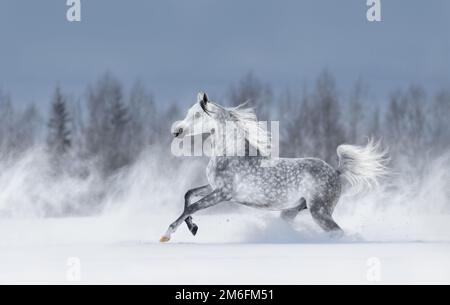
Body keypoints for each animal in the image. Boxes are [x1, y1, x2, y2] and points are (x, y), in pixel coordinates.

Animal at [160, 91, 388, 241]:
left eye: (197, 115)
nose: (176, 131)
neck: (230, 153)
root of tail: (336, 171)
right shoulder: (213, 187)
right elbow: (188, 195)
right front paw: (193, 227)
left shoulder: (223, 193)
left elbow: (192, 206)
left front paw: (167, 234)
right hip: (293, 210)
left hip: (319, 211)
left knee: (337, 232)